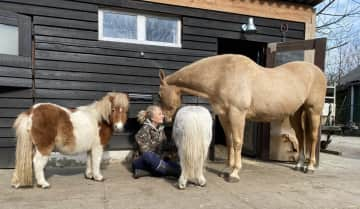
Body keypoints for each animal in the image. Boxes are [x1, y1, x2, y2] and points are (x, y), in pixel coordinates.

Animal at [159, 54, 328, 183]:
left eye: (160, 94)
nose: (164, 119)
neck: (222, 75)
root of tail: (319, 72)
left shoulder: (237, 114)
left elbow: (237, 141)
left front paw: (234, 173)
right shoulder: (224, 116)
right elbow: (229, 141)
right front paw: (227, 168)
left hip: (313, 111)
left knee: (312, 137)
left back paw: (310, 167)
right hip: (296, 113)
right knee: (300, 136)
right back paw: (299, 164)